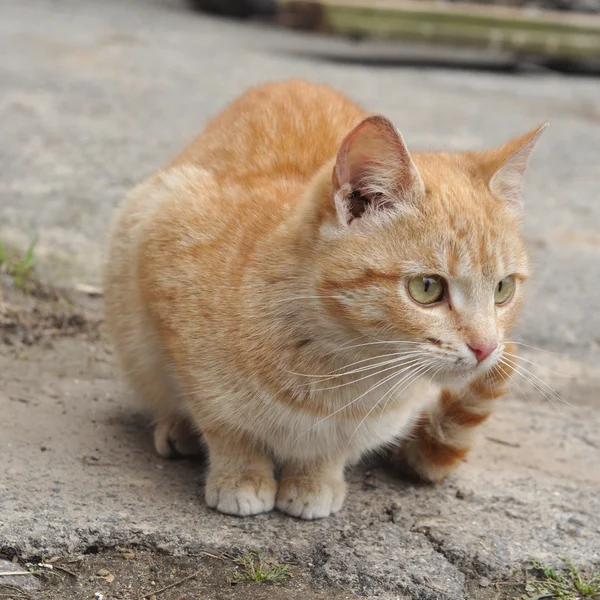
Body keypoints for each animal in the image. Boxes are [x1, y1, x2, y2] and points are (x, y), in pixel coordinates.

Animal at [105, 79, 548, 520]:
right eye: (427, 288)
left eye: (503, 288)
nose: (486, 347)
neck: (344, 369)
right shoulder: (165, 235)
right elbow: (223, 422)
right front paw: (240, 475)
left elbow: (331, 449)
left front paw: (314, 480)